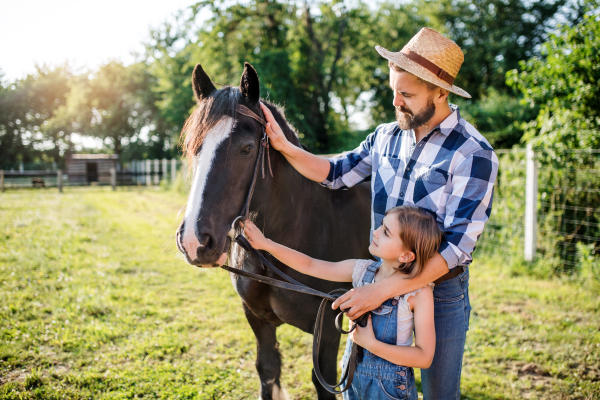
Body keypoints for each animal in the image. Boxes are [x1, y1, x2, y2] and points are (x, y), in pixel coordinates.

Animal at [175, 62, 370, 396]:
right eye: (194, 147)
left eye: (247, 148)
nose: (194, 241)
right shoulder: (256, 318)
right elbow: (267, 370)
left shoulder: (328, 330)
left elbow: (322, 382)